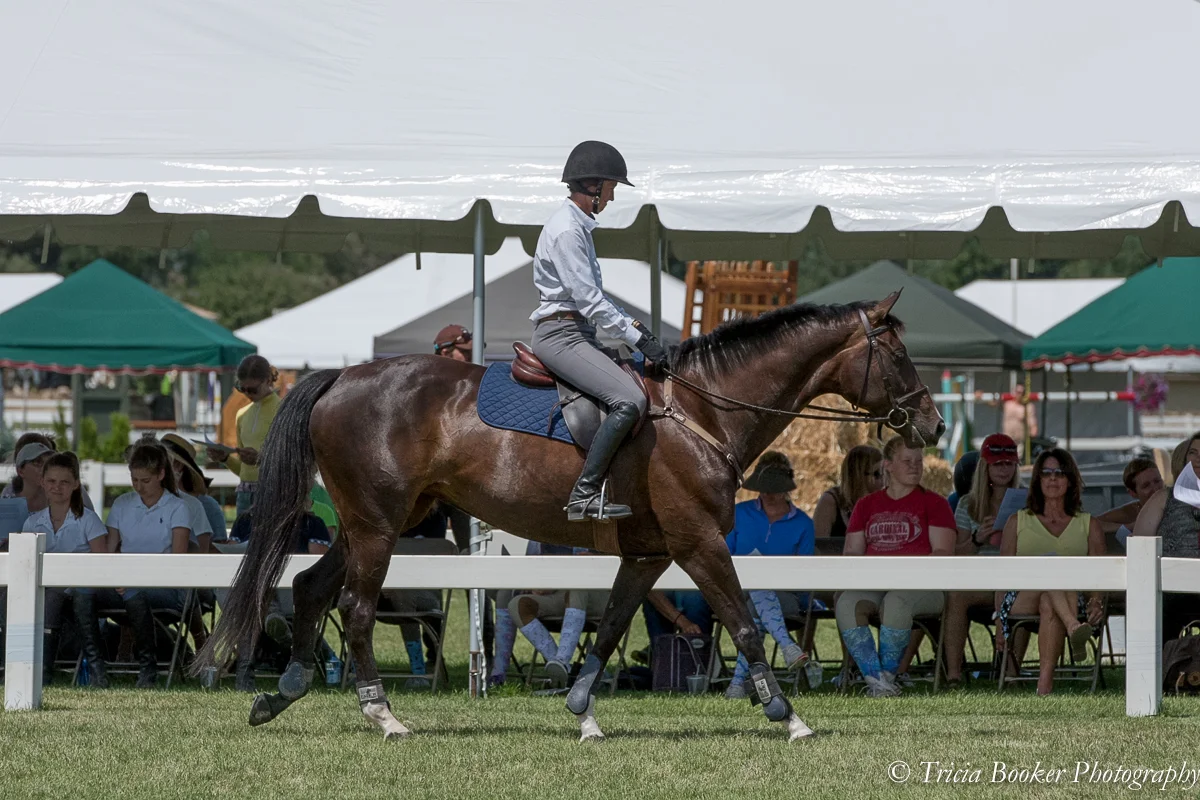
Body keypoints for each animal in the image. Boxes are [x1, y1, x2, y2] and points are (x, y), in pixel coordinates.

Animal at [197, 291, 944, 742]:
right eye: (898, 353)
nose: (933, 426)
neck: (702, 411)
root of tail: (340, 378)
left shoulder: (649, 552)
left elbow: (609, 628)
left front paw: (583, 713)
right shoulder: (698, 542)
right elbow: (744, 625)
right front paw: (787, 716)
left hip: (374, 523)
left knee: (308, 588)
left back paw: (281, 692)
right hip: (378, 528)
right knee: (352, 609)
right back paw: (383, 716)